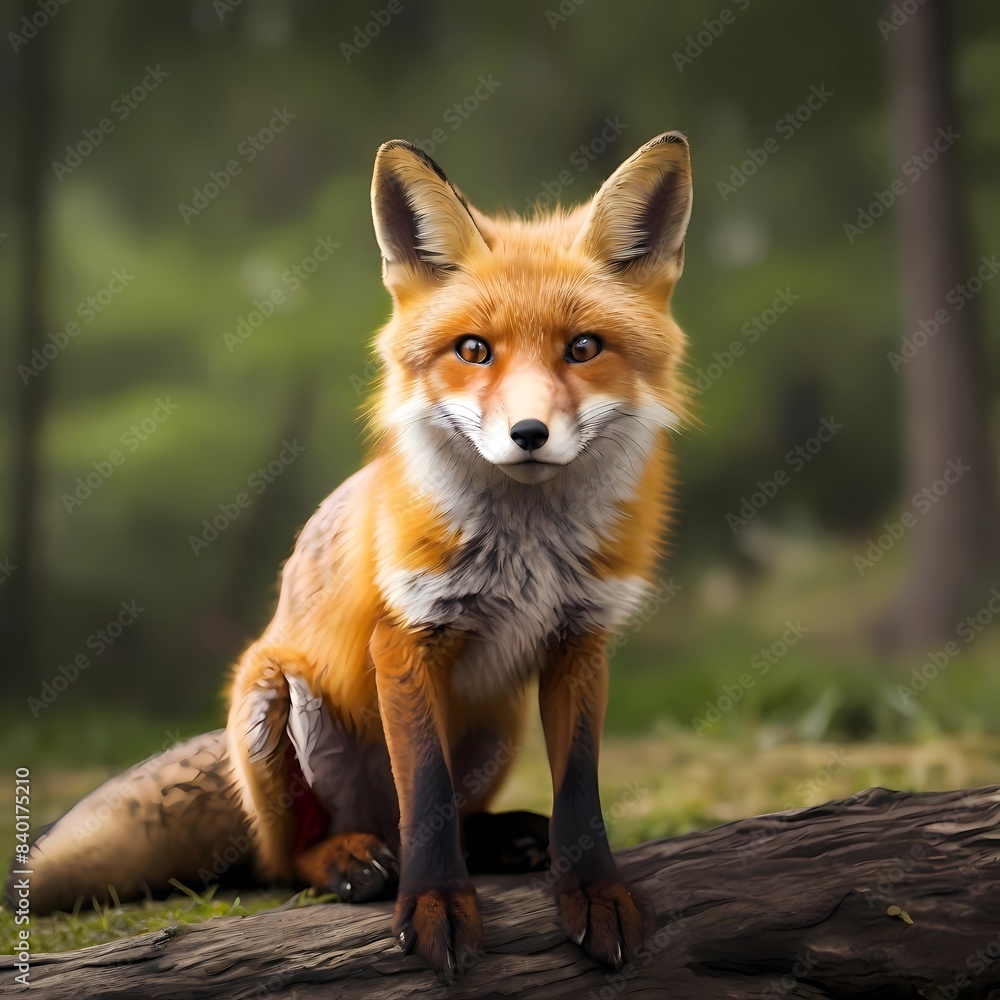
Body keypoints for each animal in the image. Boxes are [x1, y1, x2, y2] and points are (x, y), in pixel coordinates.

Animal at [10, 131, 693, 980]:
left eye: (583, 349)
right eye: (474, 350)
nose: (528, 434)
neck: (527, 547)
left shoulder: (580, 640)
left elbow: (579, 793)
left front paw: (594, 892)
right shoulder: (405, 637)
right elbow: (425, 793)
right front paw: (435, 908)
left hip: (497, 722)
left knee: (444, 816)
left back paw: (499, 837)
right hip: (271, 700)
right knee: (294, 856)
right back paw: (348, 859)